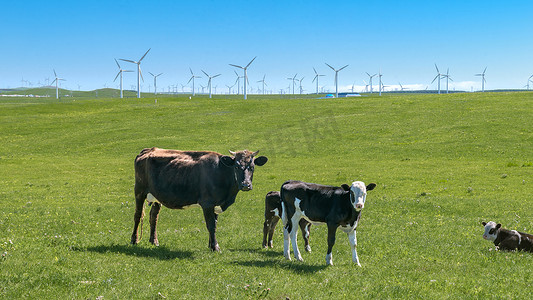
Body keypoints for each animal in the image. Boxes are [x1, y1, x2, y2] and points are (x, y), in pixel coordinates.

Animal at [131, 148, 268, 251]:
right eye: (237, 167)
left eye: (252, 167)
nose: (246, 185)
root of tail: (149, 150)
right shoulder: (207, 203)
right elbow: (211, 225)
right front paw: (215, 247)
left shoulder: (216, 204)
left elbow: (215, 225)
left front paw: (211, 245)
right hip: (139, 191)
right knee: (137, 215)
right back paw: (134, 240)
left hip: (156, 196)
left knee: (153, 217)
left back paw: (154, 241)